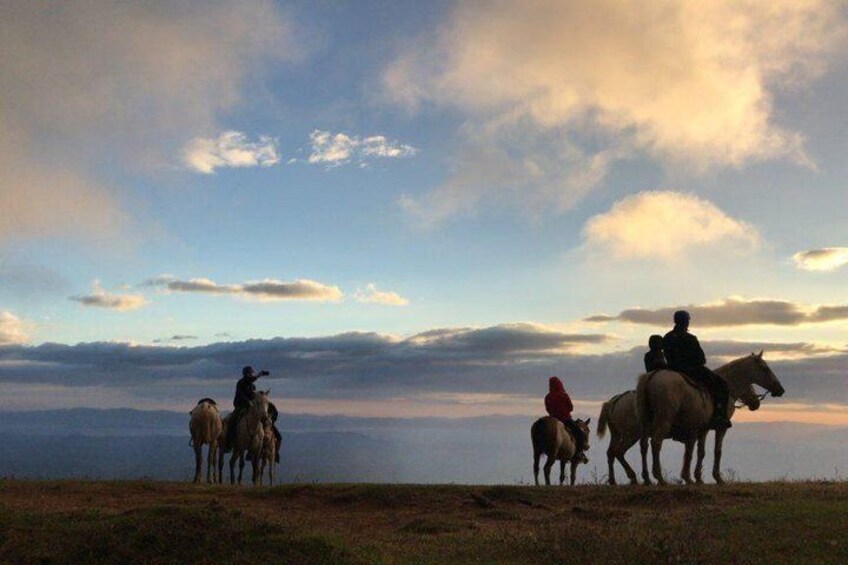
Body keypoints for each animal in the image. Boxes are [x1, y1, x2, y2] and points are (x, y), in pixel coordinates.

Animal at [632, 350, 784, 482]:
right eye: (765, 368)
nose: (780, 389)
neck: (729, 387)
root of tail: (651, 376)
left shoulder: (702, 428)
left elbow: (701, 451)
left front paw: (697, 477)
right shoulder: (721, 428)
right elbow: (717, 451)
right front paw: (717, 478)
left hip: (645, 422)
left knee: (644, 445)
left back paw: (647, 478)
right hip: (664, 421)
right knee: (656, 442)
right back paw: (659, 477)